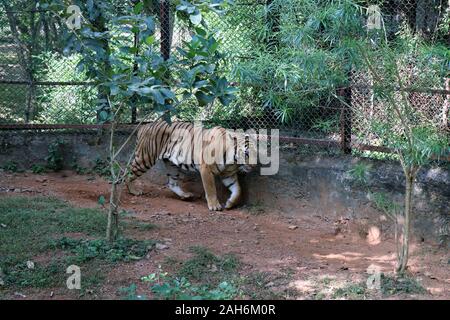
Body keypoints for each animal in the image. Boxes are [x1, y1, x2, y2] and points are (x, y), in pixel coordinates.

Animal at [125, 120, 256, 210]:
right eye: (247, 153)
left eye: (257, 153)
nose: (254, 167)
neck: (233, 161)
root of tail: (145, 125)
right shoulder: (206, 169)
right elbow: (211, 189)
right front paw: (214, 206)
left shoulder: (228, 175)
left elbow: (238, 190)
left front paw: (229, 203)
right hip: (145, 159)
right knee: (128, 173)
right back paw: (133, 191)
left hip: (172, 165)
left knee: (172, 183)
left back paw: (185, 195)